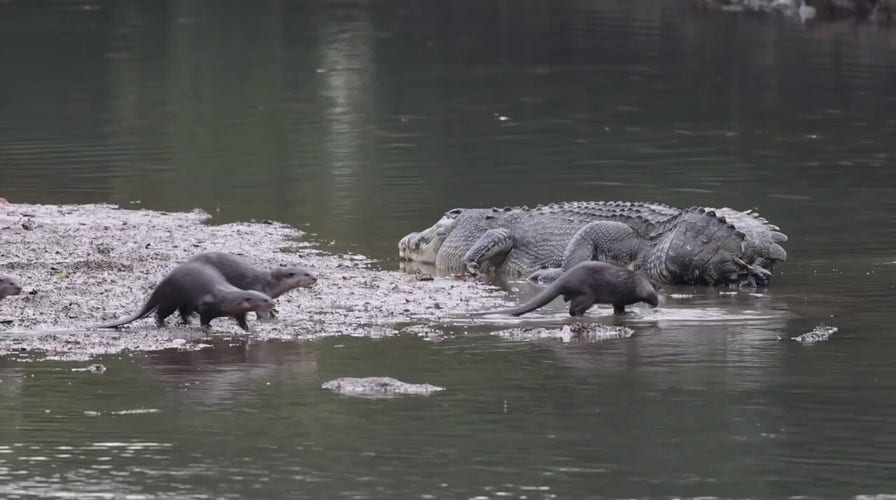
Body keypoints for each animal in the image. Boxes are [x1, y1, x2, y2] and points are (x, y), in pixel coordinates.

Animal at [97, 262, 275, 331]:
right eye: (265, 300)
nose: (274, 304)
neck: (228, 299)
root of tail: (162, 283)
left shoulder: (239, 311)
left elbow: (241, 320)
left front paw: (247, 329)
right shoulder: (206, 304)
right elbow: (204, 317)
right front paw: (206, 327)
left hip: (184, 302)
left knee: (183, 312)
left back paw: (187, 321)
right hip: (171, 300)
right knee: (161, 312)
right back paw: (162, 323)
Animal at [187, 252, 316, 319]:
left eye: (310, 271)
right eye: (306, 274)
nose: (315, 278)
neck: (270, 284)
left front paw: (274, 313)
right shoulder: (257, 290)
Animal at [476, 261, 659, 317]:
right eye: (654, 296)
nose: (657, 303)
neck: (631, 283)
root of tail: (564, 279)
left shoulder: (619, 300)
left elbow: (619, 309)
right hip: (587, 295)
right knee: (573, 311)